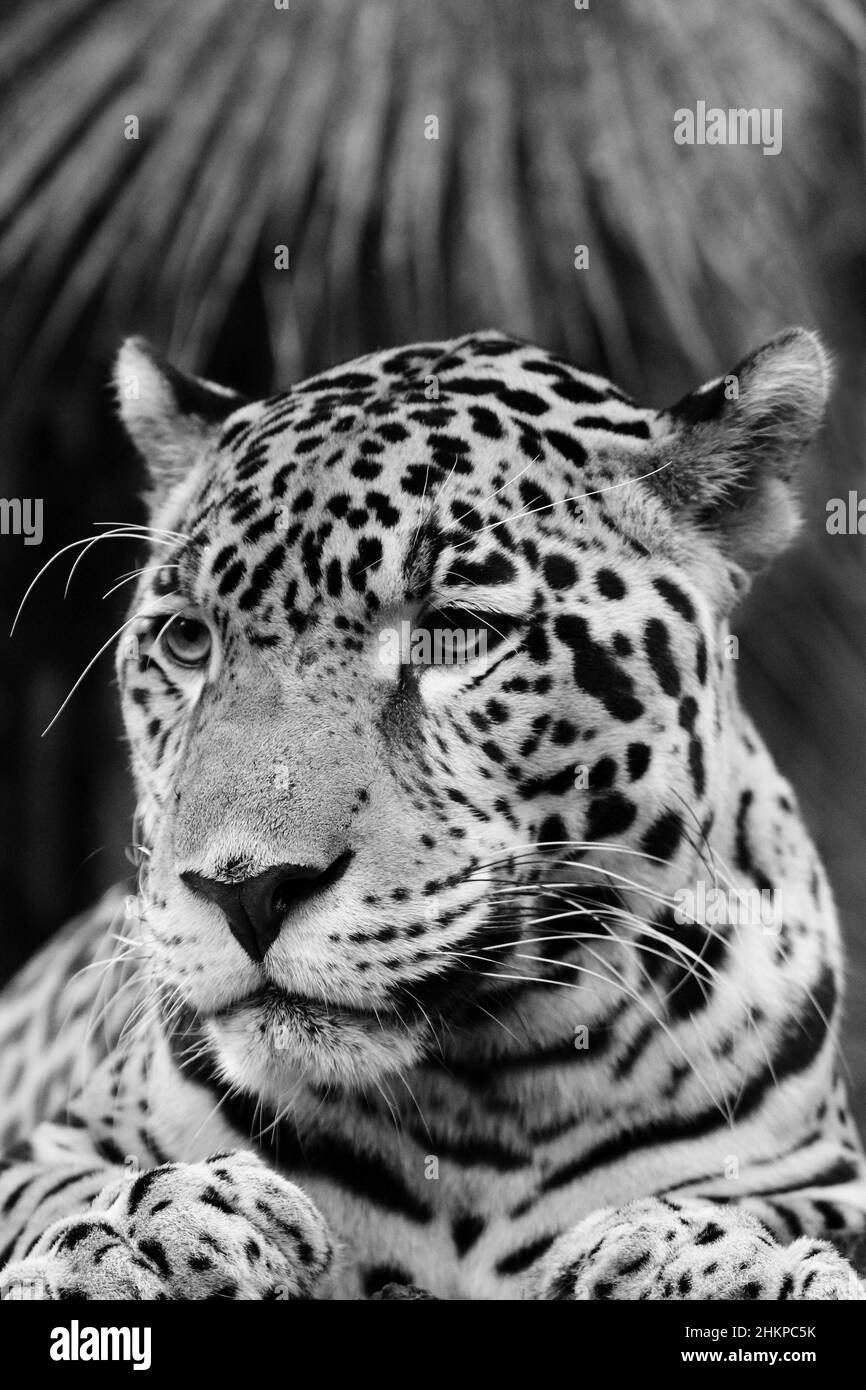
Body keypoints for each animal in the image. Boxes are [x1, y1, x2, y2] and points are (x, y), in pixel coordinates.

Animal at [1, 326, 865, 1300]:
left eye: (454, 635)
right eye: (186, 640)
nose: (245, 891)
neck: (485, 1106)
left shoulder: (819, 1178)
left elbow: (747, 1213)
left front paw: (722, 1263)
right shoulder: (46, 1147)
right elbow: (63, 1192)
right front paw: (155, 1230)